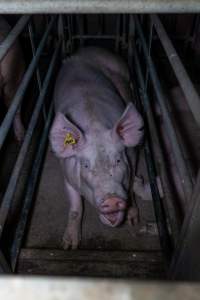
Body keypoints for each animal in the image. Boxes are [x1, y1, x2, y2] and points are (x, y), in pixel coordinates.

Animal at [49, 46, 145, 248]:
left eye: (118, 160)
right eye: (85, 165)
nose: (112, 199)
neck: (95, 125)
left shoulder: (132, 158)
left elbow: (131, 189)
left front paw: (133, 221)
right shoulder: (67, 173)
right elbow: (75, 208)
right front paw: (69, 245)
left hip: (122, 74)